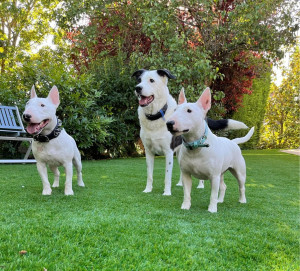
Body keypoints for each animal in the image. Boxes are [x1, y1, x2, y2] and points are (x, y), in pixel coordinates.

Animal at [132, 69, 248, 198]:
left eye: (151, 80)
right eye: (139, 80)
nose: (138, 88)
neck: (155, 117)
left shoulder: (168, 151)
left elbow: (167, 175)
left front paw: (167, 192)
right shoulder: (148, 152)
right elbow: (149, 174)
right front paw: (148, 189)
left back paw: (200, 185)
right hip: (179, 153)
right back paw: (180, 183)